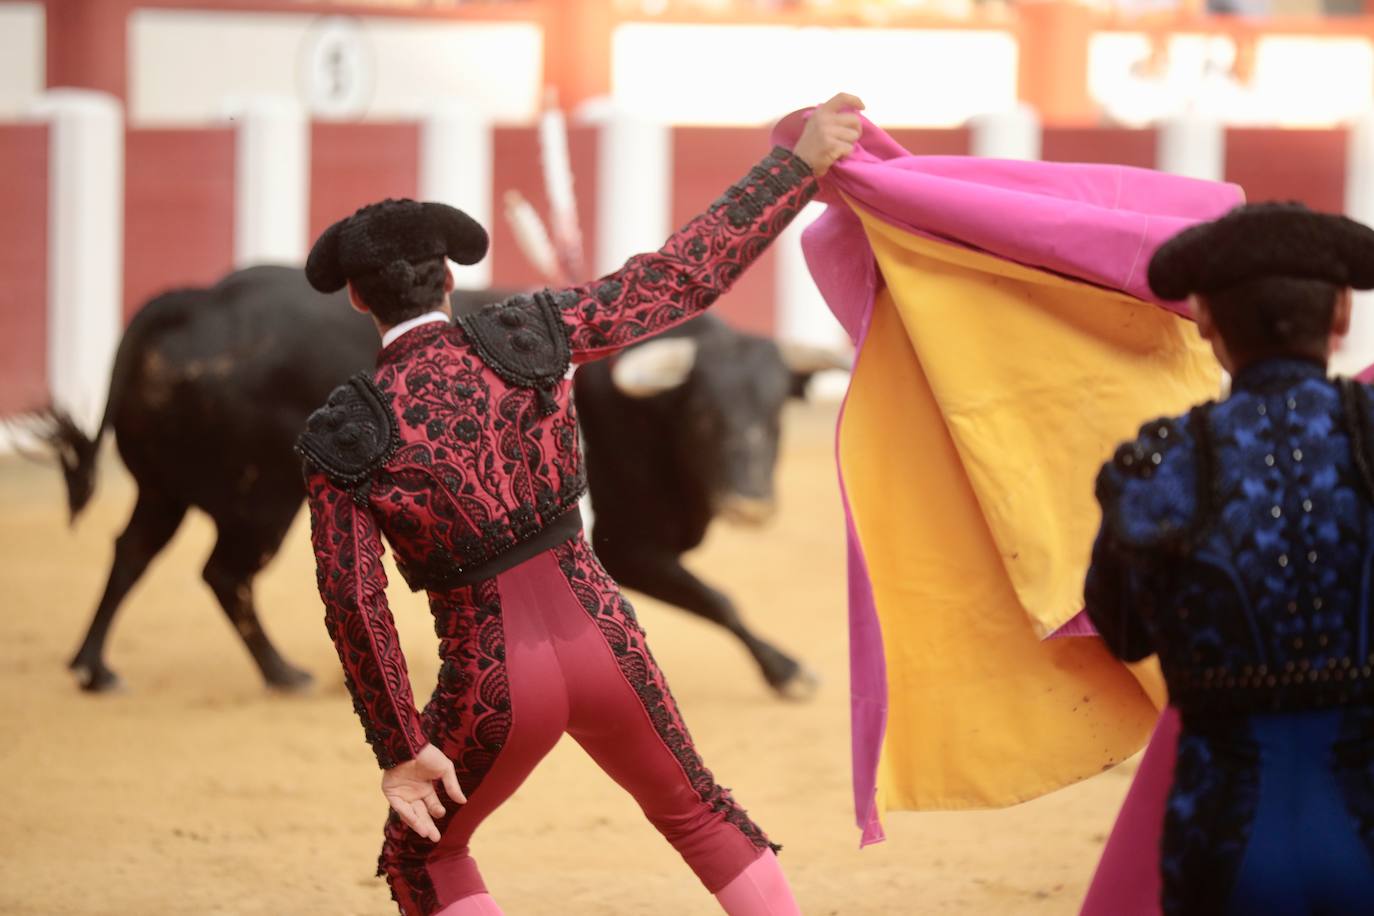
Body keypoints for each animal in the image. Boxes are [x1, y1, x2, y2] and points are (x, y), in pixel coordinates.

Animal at [42, 269, 829, 697]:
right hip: (257, 501)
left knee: (135, 552)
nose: (751, 504)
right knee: (221, 572)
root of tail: (193, 301)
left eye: (774, 410)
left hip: (167, 487)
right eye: (704, 412)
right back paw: (276, 673)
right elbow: (719, 597)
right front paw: (788, 671)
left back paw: (97, 667)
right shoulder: (628, 545)